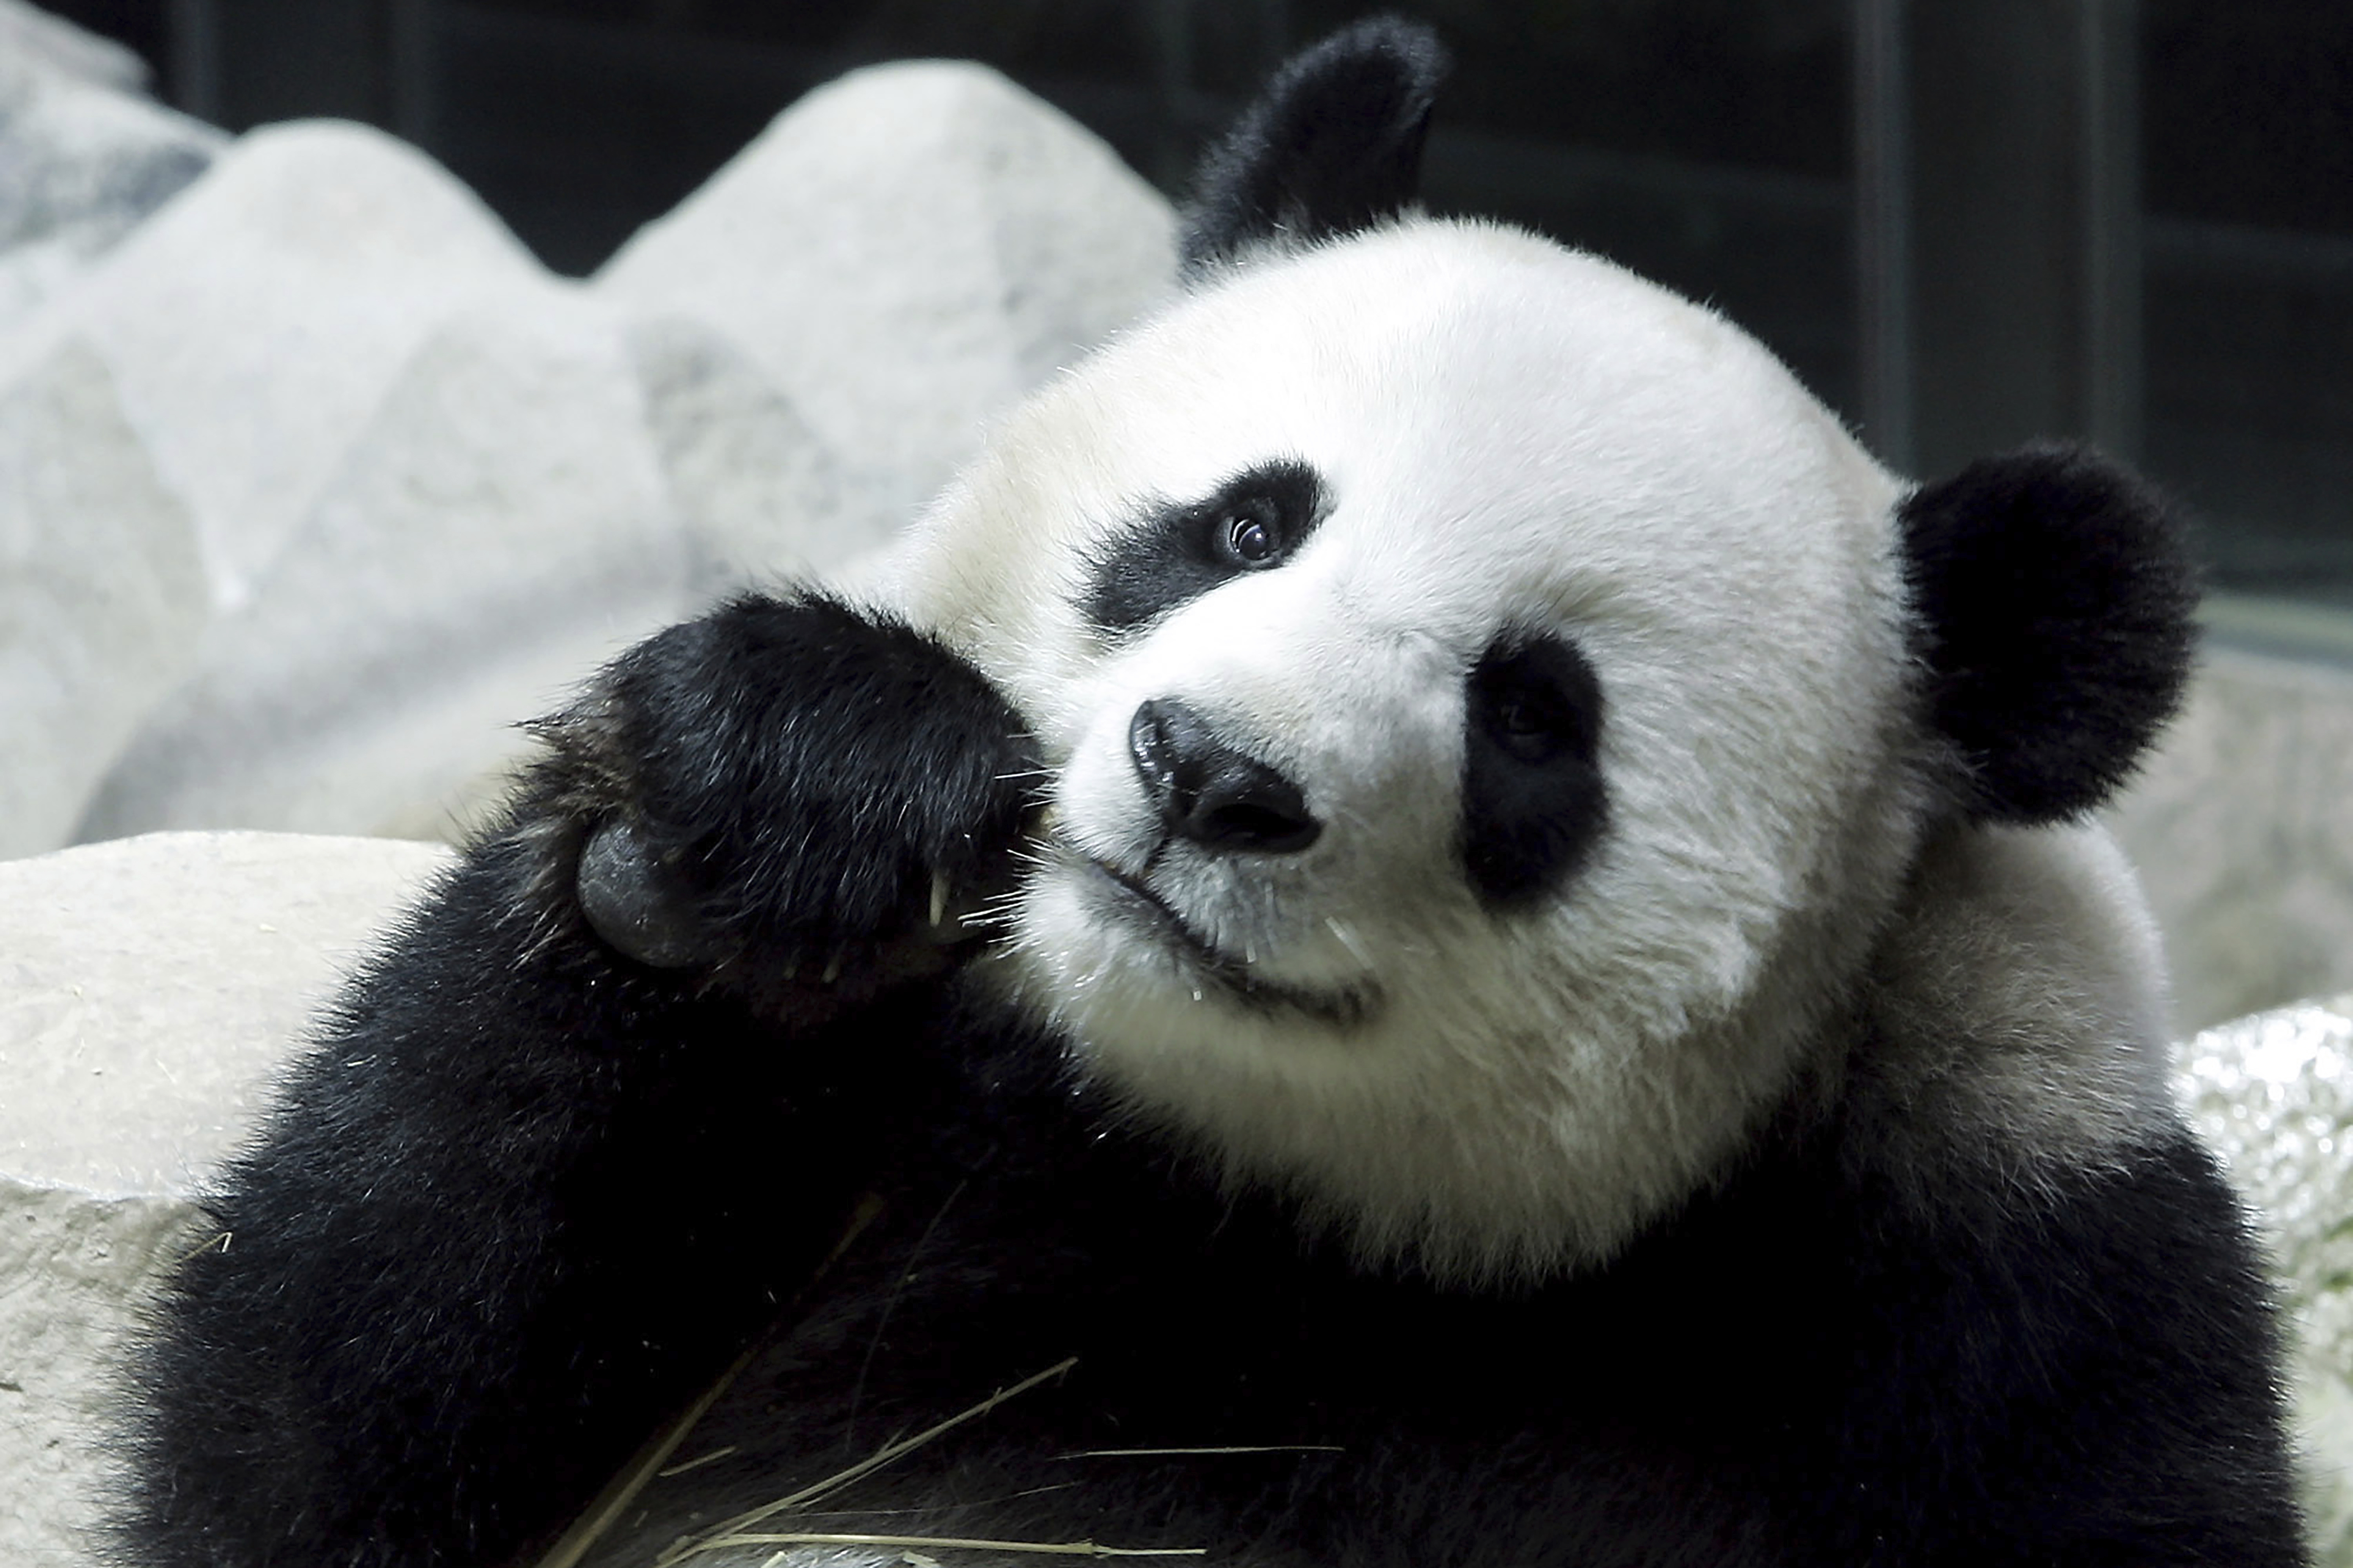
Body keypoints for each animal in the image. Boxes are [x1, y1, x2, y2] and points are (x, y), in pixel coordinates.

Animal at [124, 21, 2297, 1563]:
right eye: (1244, 521)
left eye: (1535, 716)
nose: (1216, 772)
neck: (1248, 1185)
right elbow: (308, 1438)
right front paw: (787, 793)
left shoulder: (2000, 1286)